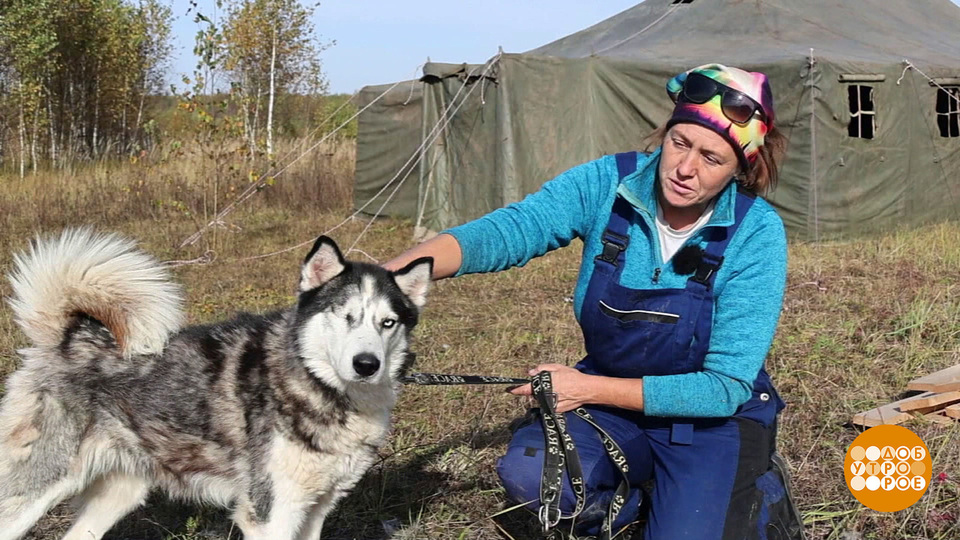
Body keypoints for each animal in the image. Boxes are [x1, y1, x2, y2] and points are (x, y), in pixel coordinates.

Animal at [0, 229, 432, 540]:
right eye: (345, 316)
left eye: (388, 322)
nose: (367, 365)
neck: (319, 386)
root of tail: (71, 336)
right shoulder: (272, 513)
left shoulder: (315, 509)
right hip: (39, 484)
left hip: (119, 492)